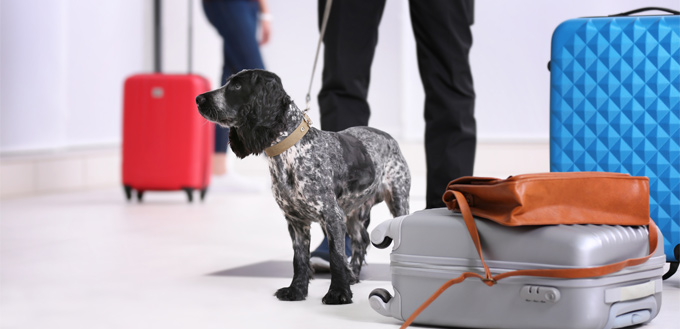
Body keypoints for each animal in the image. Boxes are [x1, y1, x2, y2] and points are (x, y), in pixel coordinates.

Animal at [194, 68, 412, 302]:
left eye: (236, 86)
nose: (198, 99)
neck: (290, 152)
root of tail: (389, 137)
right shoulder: (296, 221)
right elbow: (299, 260)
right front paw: (296, 290)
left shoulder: (332, 216)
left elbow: (336, 257)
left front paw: (338, 293)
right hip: (353, 214)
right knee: (360, 241)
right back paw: (353, 274)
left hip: (397, 200)